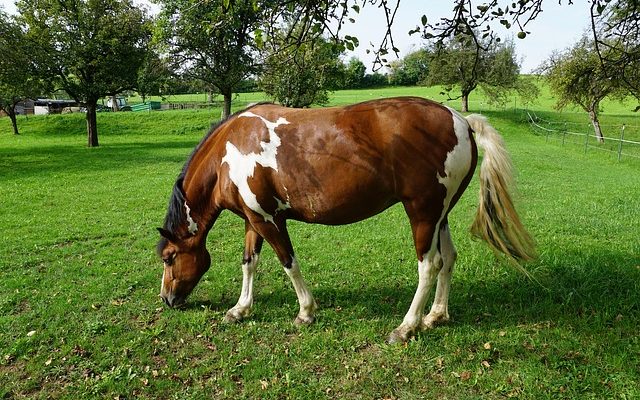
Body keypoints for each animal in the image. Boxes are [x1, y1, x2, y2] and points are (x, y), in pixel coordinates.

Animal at [156, 97, 536, 344]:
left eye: (169, 258)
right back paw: (435, 316)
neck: (231, 149)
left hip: (423, 213)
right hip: (440, 215)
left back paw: (406, 327)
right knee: (449, 259)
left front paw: (306, 312)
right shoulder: (255, 219)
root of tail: (461, 120)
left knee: (430, 265)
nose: (168, 300)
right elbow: (249, 263)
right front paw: (240, 309)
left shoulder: (269, 220)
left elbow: (289, 264)